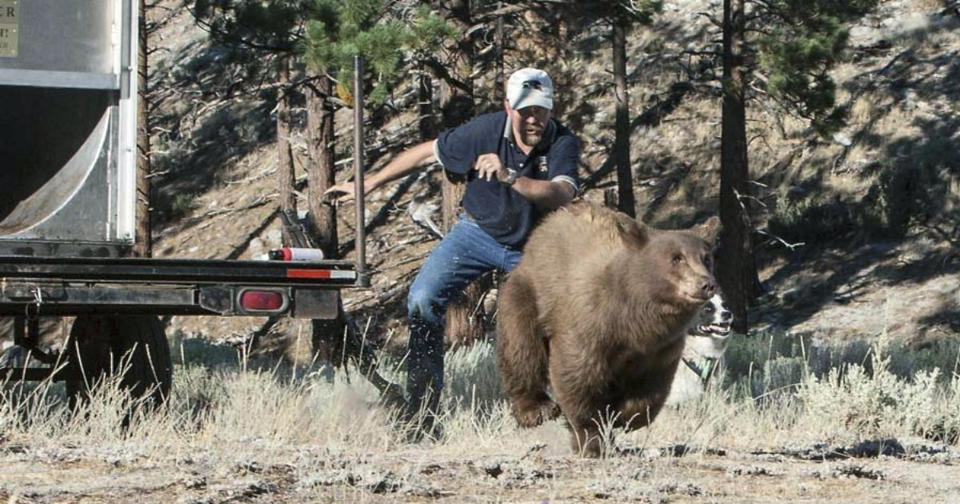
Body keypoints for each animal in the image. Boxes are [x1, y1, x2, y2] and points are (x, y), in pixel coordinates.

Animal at [498, 201, 716, 456]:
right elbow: (577, 376)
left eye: (707, 258)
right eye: (676, 258)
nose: (706, 283)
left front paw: (622, 416)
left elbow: (650, 389)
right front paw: (592, 440)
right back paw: (536, 409)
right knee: (522, 349)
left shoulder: (660, 348)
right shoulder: (590, 324)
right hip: (527, 296)